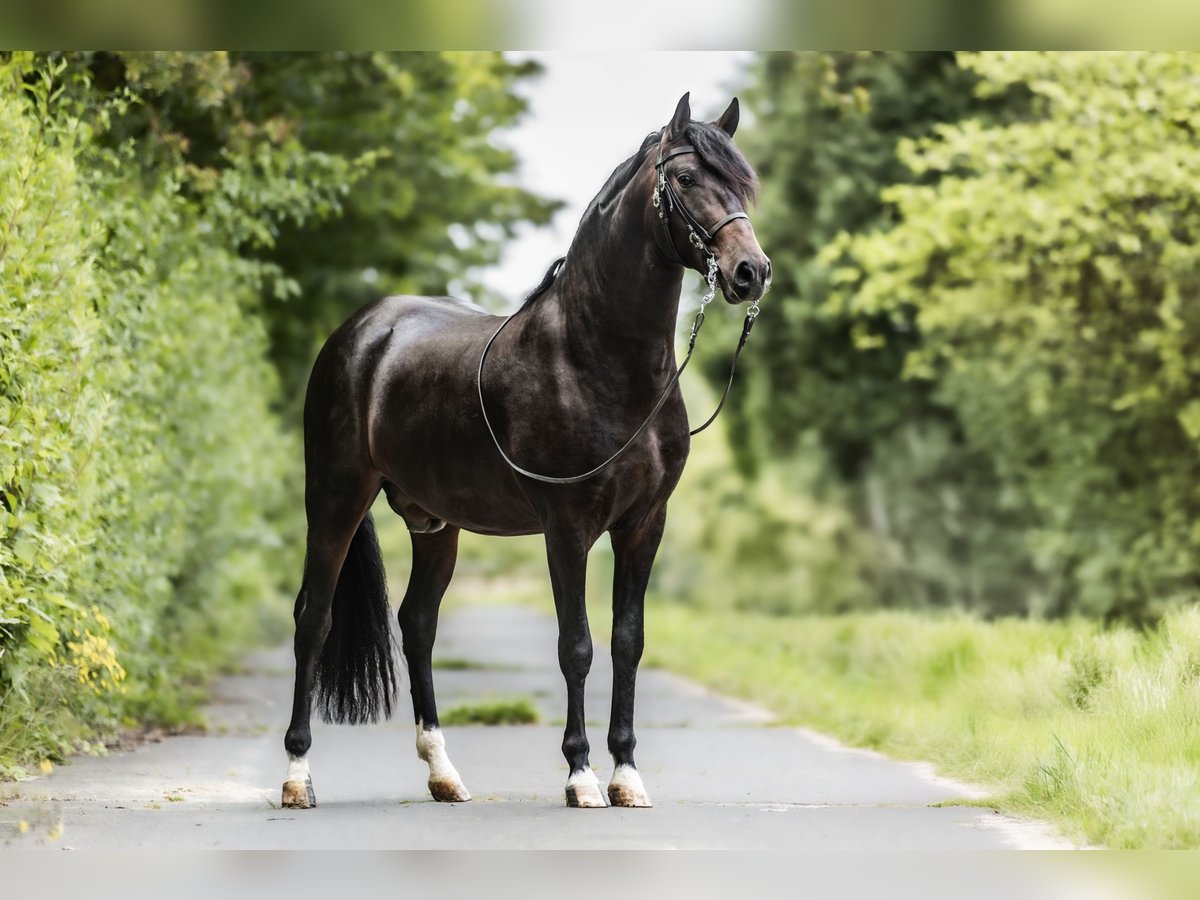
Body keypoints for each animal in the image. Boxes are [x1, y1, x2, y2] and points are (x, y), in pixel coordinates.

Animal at [279, 91, 768, 811]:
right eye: (684, 179)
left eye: (744, 183)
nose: (750, 272)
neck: (596, 359)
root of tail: (362, 331)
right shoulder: (567, 526)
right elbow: (577, 646)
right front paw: (581, 776)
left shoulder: (643, 524)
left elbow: (628, 642)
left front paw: (627, 775)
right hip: (336, 498)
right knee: (313, 619)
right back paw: (296, 775)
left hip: (434, 522)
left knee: (417, 623)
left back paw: (443, 774)